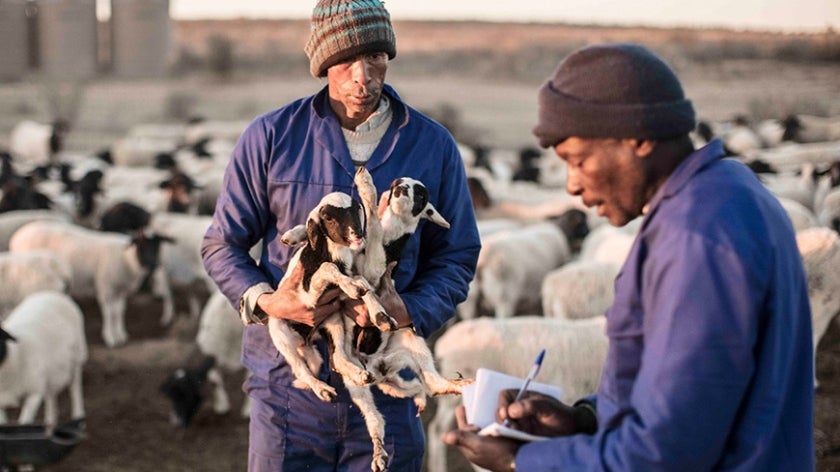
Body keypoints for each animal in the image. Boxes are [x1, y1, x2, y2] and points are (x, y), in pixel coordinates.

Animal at [0, 290, 86, 430]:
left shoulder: (34, 393)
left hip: (78, 355)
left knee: (75, 387)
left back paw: (78, 418)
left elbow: (25, 422)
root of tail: (51, 293)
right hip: (50, 371)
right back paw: (50, 423)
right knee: (51, 394)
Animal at [9, 220, 173, 346]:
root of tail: (17, 235)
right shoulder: (106, 287)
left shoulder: (120, 289)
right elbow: (109, 313)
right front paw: (110, 337)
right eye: (141, 244)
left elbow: (119, 311)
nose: (154, 264)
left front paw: (121, 334)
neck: (127, 259)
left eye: (158, 245)